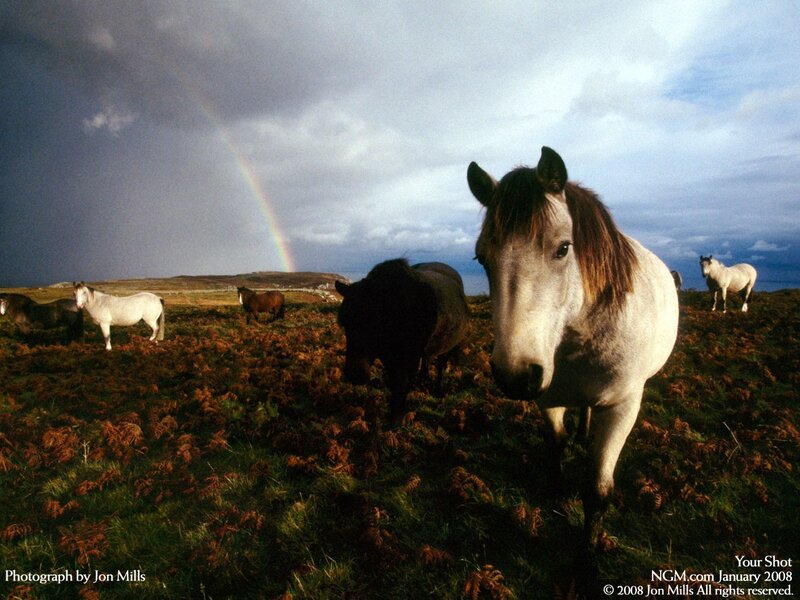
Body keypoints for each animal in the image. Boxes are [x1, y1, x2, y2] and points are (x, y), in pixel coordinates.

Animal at [335, 259, 470, 423]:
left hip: (447, 347)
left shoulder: (410, 358)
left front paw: (396, 417)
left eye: (376, 322)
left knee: (441, 365)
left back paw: (438, 390)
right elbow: (395, 381)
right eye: (344, 322)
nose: (355, 374)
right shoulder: (389, 357)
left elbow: (402, 383)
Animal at [468, 146, 678, 555]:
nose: (515, 375)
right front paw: (555, 494)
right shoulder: (547, 397)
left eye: (563, 248)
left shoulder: (623, 407)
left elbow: (598, 489)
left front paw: (587, 556)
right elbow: (555, 447)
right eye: (481, 258)